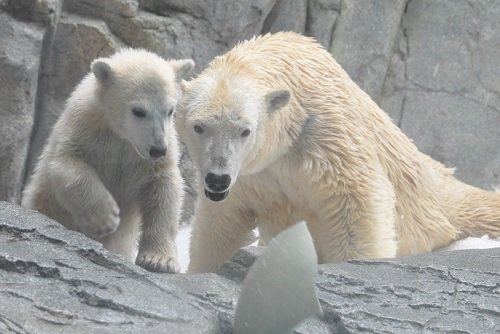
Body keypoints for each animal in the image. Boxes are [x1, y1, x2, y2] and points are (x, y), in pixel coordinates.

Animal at [24, 50, 194, 274]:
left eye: (170, 110)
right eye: (139, 111)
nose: (158, 149)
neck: (122, 136)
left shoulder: (152, 156)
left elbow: (164, 189)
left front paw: (160, 260)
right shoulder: (84, 127)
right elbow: (66, 163)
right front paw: (105, 219)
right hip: (45, 204)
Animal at [177, 31, 500, 272]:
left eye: (245, 130)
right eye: (199, 126)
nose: (217, 178)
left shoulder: (329, 134)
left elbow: (356, 202)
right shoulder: (251, 176)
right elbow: (223, 222)